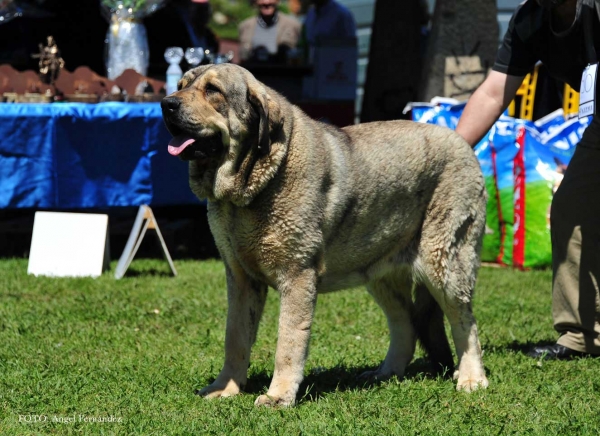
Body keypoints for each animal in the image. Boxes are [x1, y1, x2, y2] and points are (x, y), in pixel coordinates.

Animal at [162, 63, 490, 406]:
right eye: (181, 85)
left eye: (213, 90)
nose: (166, 104)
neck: (254, 184)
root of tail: (463, 143)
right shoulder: (240, 279)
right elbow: (235, 336)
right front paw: (225, 387)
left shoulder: (297, 275)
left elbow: (288, 342)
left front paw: (278, 397)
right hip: (381, 274)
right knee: (405, 323)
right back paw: (385, 373)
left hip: (444, 265)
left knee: (465, 322)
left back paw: (471, 378)